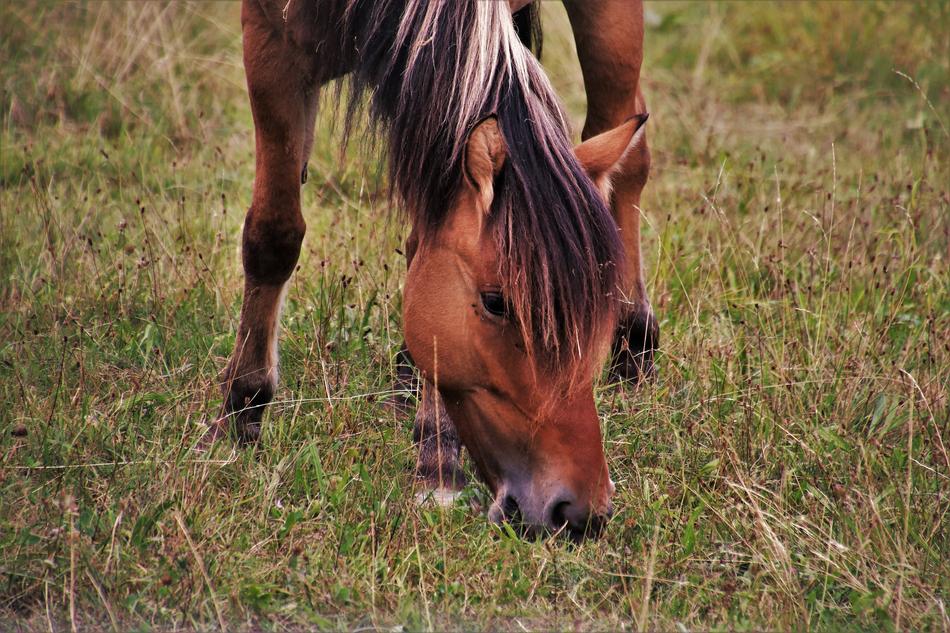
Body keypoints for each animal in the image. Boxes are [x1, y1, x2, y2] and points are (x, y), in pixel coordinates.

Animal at [209, 0, 656, 541]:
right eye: (495, 302)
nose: (580, 513)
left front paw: (437, 459)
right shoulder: (270, 44)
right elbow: (273, 236)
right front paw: (241, 408)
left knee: (627, 144)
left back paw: (636, 343)